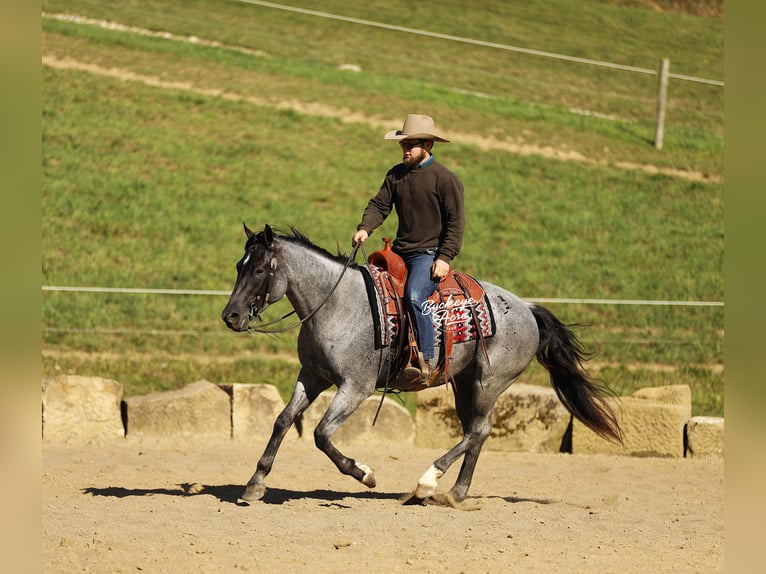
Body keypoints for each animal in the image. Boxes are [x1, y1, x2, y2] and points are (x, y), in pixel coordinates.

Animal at [221, 224, 622, 505]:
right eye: (239, 265)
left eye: (259, 270)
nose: (231, 316)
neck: (336, 304)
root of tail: (527, 308)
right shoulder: (313, 377)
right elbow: (283, 420)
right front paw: (255, 483)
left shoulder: (355, 386)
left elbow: (321, 434)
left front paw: (364, 473)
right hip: (465, 384)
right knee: (475, 432)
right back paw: (454, 493)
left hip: (489, 382)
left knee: (479, 430)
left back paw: (427, 480)